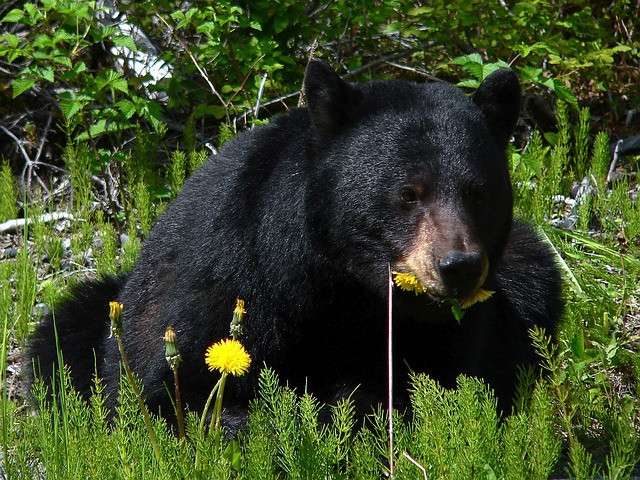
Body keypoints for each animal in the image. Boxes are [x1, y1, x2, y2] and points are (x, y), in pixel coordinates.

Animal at [29, 59, 562, 425]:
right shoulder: (224, 280)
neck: (339, 287)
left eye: (478, 192)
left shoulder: (447, 332)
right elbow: (168, 390)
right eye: (408, 193)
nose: (458, 266)